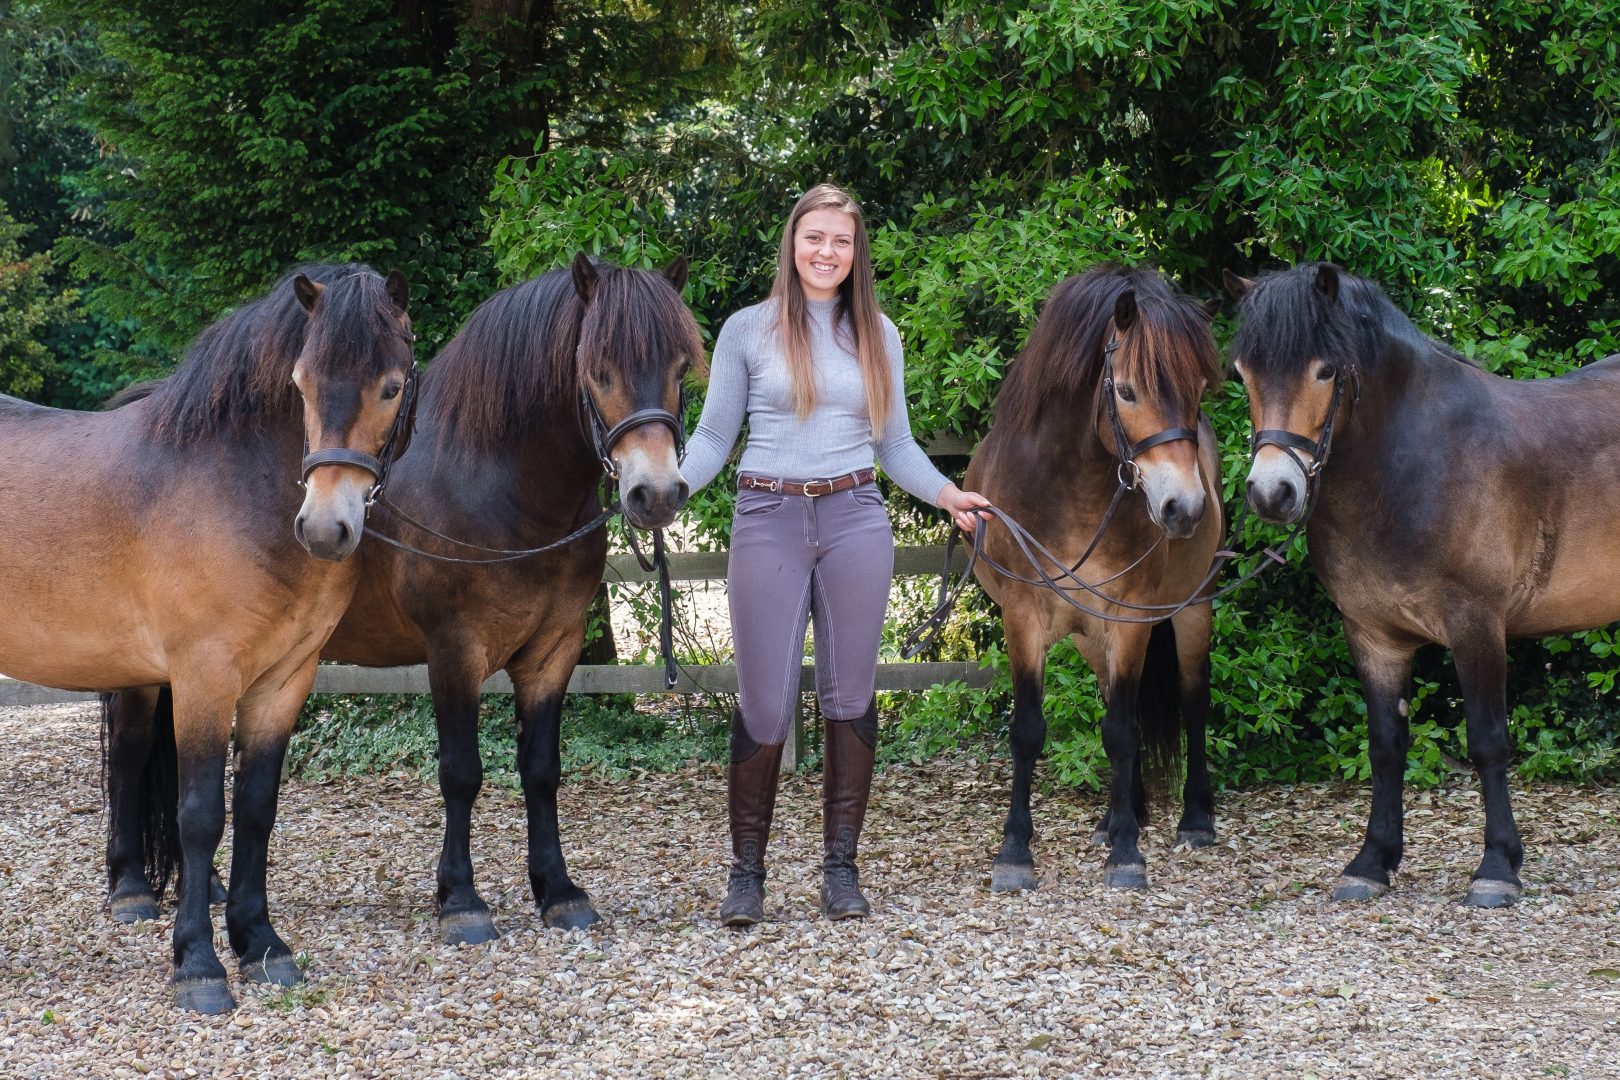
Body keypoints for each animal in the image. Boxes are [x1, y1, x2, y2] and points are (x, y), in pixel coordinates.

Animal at [0, 264, 416, 1013]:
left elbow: (255, 810)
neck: (229, 482)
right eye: (300, 384)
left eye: (391, 387)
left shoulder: (283, 682)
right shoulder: (203, 678)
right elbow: (199, 815)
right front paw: (197, 963)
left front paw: (262, 945)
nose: (324, 528)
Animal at [103, 253, 700, 945]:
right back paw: (130, 888)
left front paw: (558, 890)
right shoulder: (455, 649)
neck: (494, 482)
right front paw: (461, 899)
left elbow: (542, 770)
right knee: (130, 751)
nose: (656, 495)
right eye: (598, 371)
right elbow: (462, 772)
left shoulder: (554, 649)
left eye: (679, 369)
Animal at [963, 263, 1225, 893]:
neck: (1071, 489)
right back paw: (1117, 815)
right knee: (1113, 698)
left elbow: (1125, 730)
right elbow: (1031, 730)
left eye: (1199, 390)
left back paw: (1193, 819)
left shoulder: (1129, 619)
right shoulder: (1024, 616)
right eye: (1126, 390)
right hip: (1088, 635)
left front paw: (1129, 852)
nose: (1184, 509)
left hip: (1193, 609)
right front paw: (1016, 850)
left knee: (1192, 701)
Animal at [1225, 261, 1620, 907]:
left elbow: (1487, 741)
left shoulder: (1477, 626)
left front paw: (1497, 867)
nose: (1271, 493)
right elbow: (1386, 746)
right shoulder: (1372, 634)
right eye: (1244, 372)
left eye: (1325, 369)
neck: (1417, 462)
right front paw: (1371, 862)